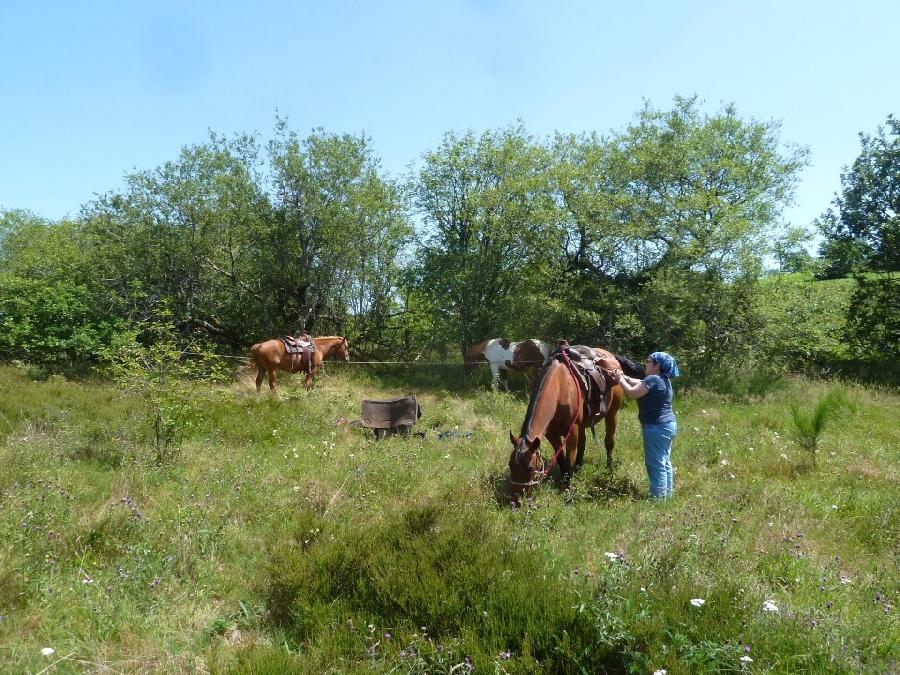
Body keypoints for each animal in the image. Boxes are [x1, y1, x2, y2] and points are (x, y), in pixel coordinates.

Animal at [510, 346, 644, 504]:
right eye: (510, 465)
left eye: (530, 468)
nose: (516, 500)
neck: (559, 388)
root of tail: (612, 356)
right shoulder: (552, 434)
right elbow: (561, 458)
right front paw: (564, 480)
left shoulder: (572, 430)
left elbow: (569, 460)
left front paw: (567, 488)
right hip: (583, 424)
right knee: (583, 443)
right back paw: (579, 467)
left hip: (612, 414)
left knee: (609, 442)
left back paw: (609, 467)